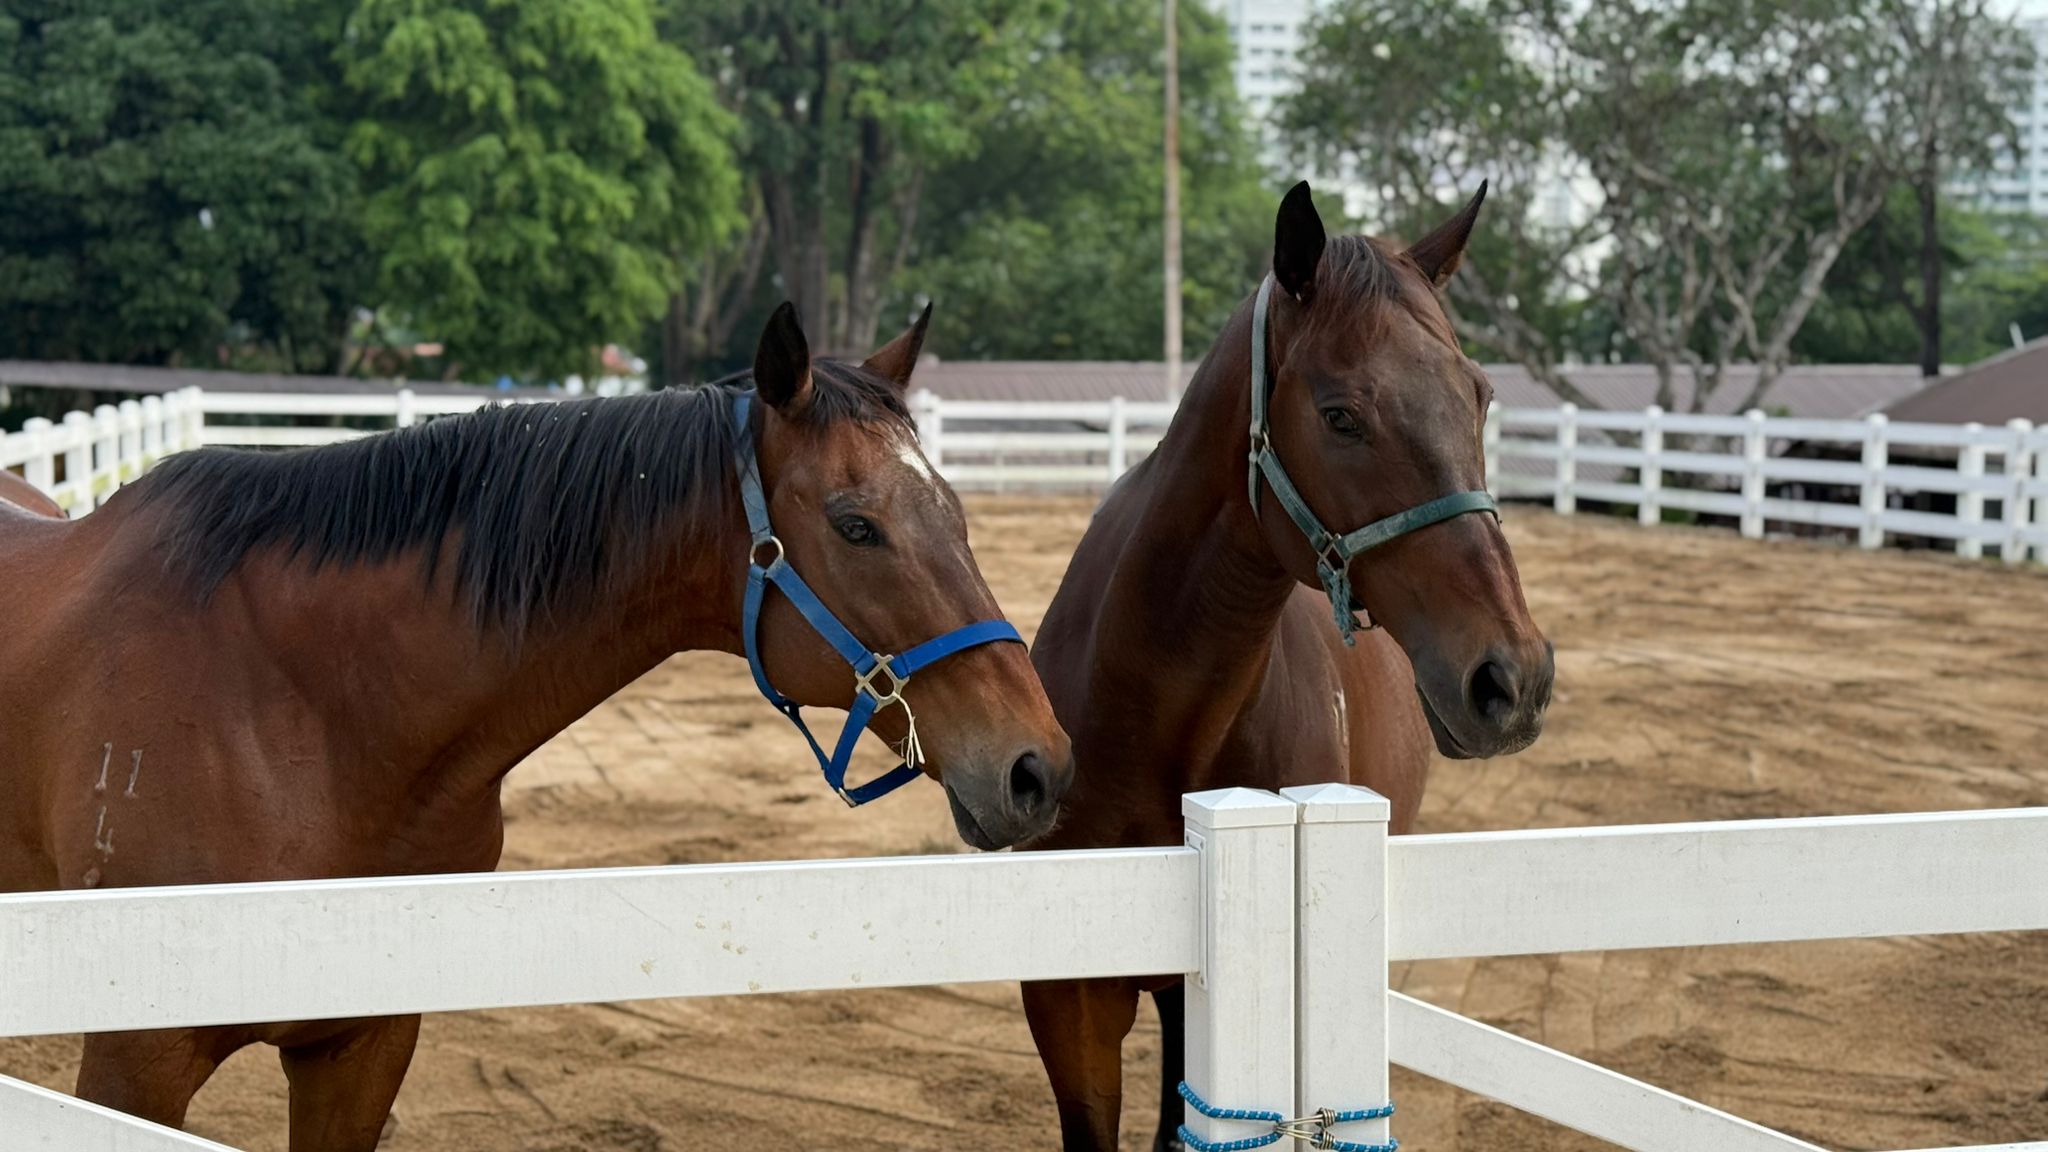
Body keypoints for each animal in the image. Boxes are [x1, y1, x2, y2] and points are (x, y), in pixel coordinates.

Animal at [0, 303, 1074, 1150]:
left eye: (956, 510)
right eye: (857, 525)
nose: (1039, 768)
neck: (298, 711)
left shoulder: (361, 1047)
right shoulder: (136, 1065)